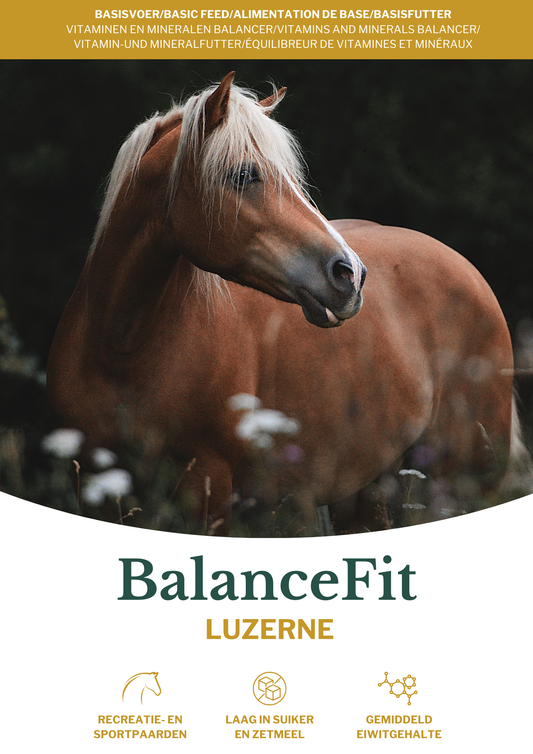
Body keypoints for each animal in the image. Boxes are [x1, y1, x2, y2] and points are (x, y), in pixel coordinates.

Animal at [47, 72, 529, 535]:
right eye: (244, 175)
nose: (351, 274)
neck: (122, 349)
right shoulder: (95, 487)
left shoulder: (208, 489)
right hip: (366, 489)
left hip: (463, 479)